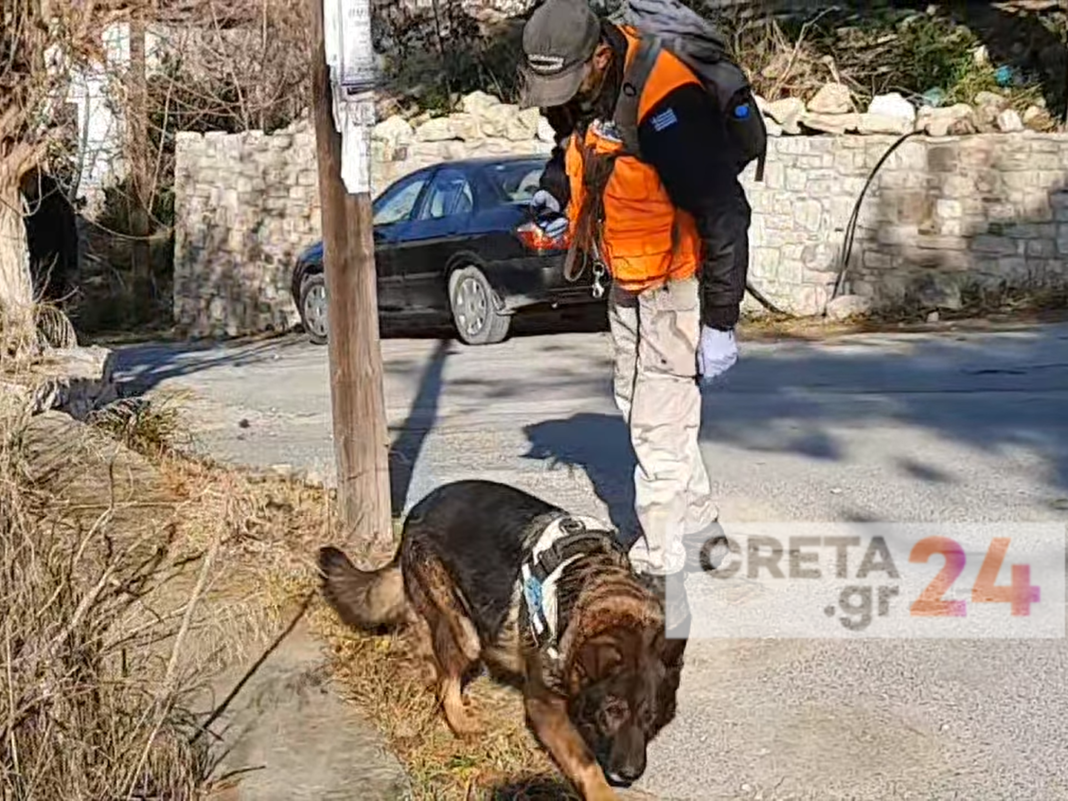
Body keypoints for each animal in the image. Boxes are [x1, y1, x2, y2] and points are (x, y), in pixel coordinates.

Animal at [311, 480, 687, 798]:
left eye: (651, 716)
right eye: (613, 710)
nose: (630, 773)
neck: (599, 593)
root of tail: (418, 509)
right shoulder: (543, 707)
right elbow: (586, 763)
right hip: (465, 631)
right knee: (445, 679)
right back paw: (461, 722)